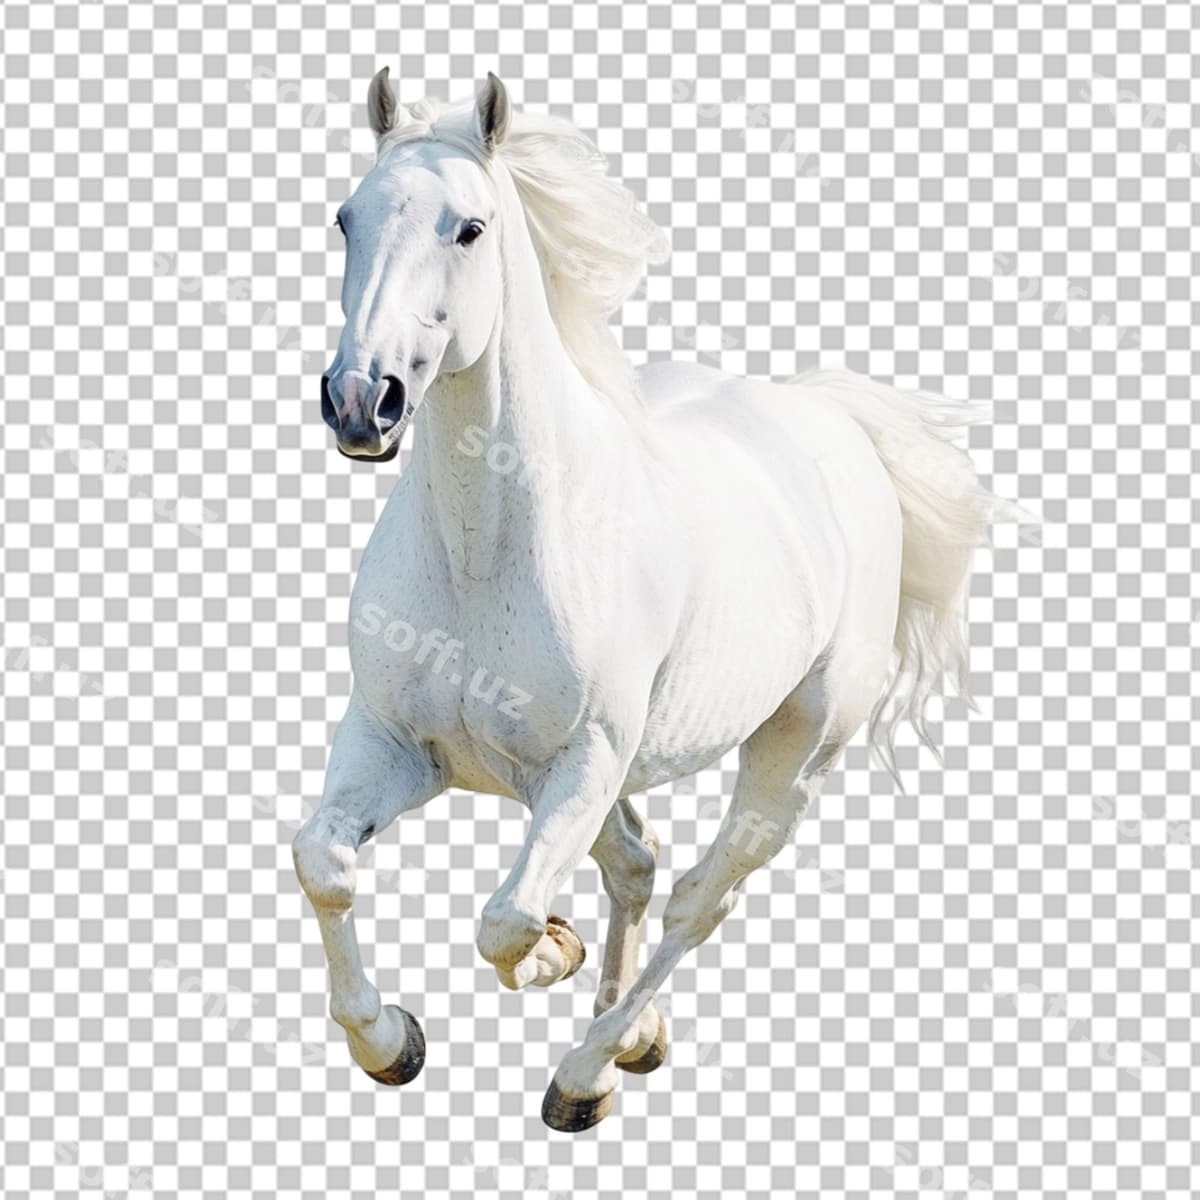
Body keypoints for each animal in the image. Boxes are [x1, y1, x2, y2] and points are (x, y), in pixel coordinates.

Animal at [292, 69, 995, 1132]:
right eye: (346, 218)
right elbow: (324, 866)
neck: (483, 552)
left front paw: (551, 951)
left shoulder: (578, 766)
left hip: (795, 756)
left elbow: (502, 921)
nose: (360, 401)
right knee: (641, 863)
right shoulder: (393, 743)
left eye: (470, 228)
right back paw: (630, 1036)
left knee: (700, 899)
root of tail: (835, 421)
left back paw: (590, 1069)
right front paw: (390, 1043)